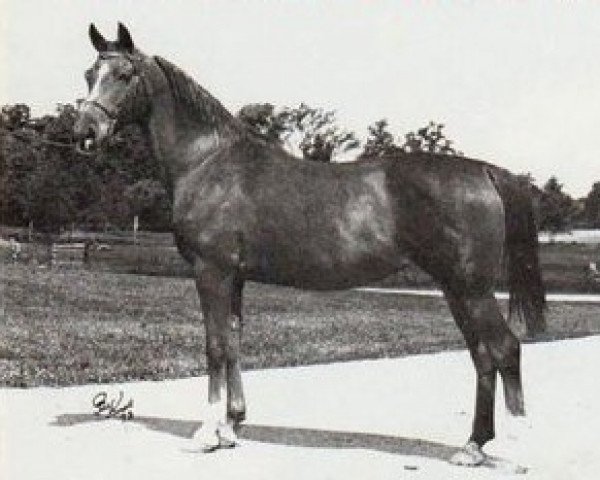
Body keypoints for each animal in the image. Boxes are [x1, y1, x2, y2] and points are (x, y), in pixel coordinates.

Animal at [72, 24, 548, 466]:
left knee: (504, 348)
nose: (85, 132)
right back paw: (473, 446)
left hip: (471, 287)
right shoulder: (235, 277)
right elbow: (233, 341)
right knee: (482, 355)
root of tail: (485, 171)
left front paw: (206, 434)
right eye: (89, 74)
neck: (208, 162)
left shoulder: (211, 271)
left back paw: (496, 444)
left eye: (123, 74)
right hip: (455, 288)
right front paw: (231, 426)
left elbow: (214, 346)